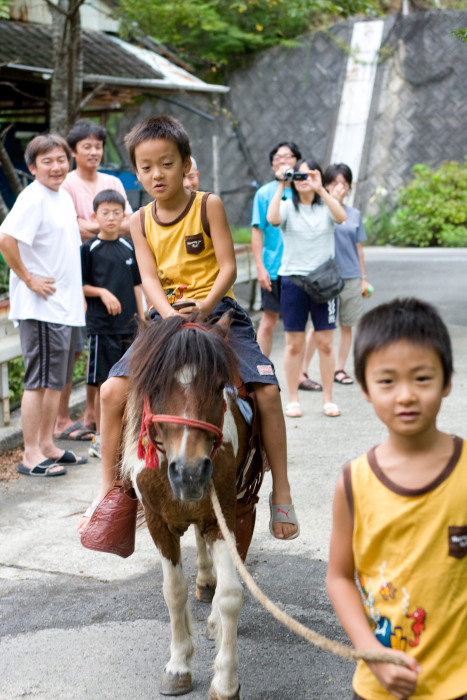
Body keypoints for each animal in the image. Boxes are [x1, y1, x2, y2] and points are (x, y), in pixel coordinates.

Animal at [119, 314, 264, 700]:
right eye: (156, 386)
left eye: (217, 387)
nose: (190, 472)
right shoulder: (158, 523)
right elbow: (173, 592)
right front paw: (179, 665)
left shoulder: (222, 516)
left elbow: (231, 594)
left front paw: (226, 680)